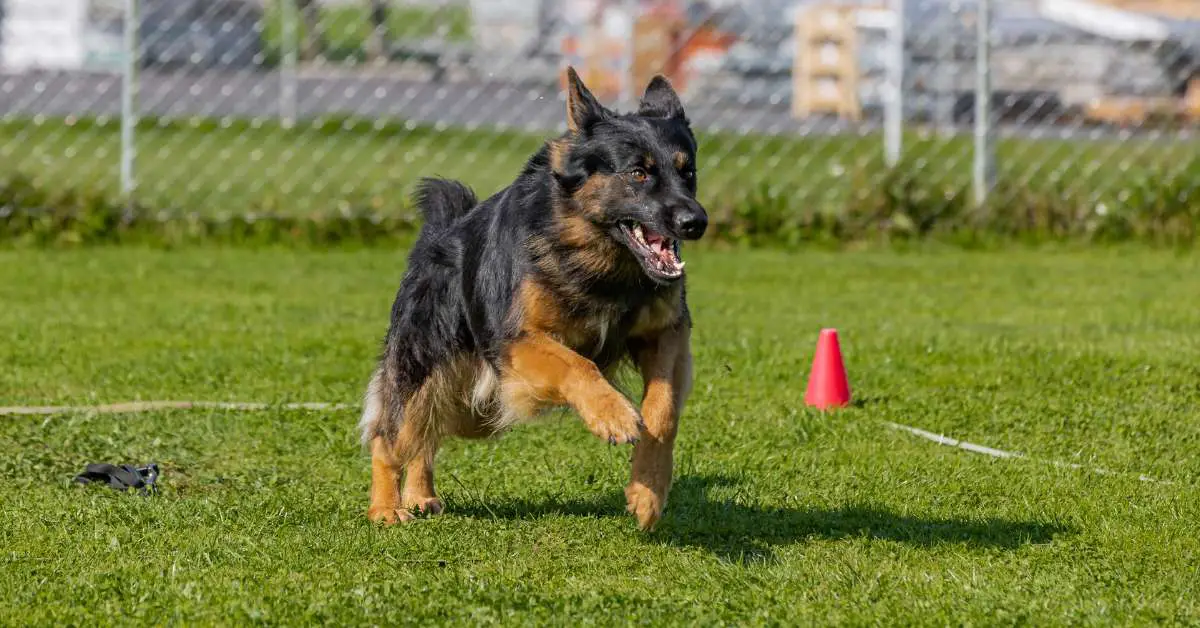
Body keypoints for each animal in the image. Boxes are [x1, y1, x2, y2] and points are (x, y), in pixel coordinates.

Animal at [360, 67, 705, 530]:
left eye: (688, 173)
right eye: (638, 173)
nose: (696, 222)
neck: (601, 263)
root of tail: (442, 232)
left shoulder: (665, 334)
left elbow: (662, 412)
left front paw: (648, 492)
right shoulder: (519, 342)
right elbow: (578, 365)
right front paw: (611, 414)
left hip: (476, 408)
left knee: (431, 431)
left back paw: (419, 494)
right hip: (428, 370)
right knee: (393, 434)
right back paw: (385, 507)